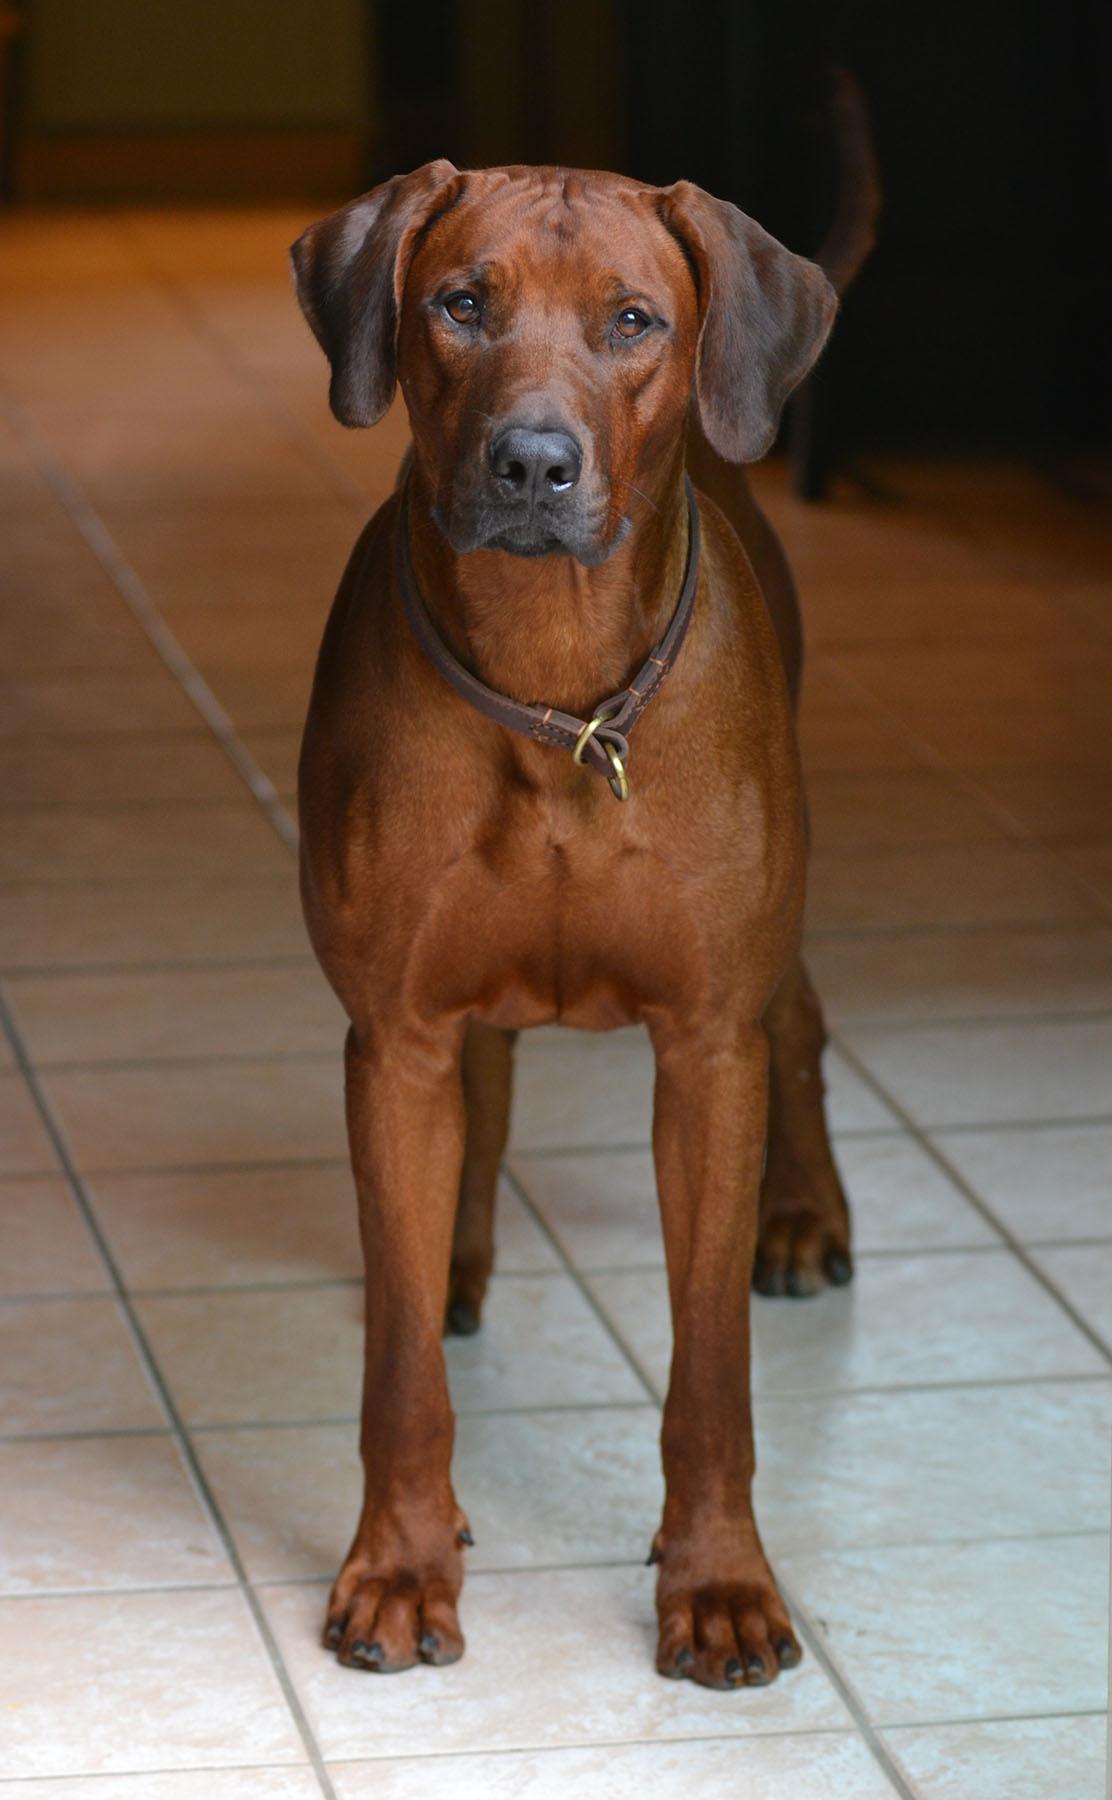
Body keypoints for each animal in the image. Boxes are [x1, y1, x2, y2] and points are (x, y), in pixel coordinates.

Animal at [290, 157, 857, 1691]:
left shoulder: (705, 1048)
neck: (553, 693)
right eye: (459, 304)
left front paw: (718, 1583)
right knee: (477, 1099)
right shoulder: (393, 1035)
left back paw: (804, 1214)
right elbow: (400, 1370)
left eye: (632, 320)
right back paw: (457, 1251)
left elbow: (710, 1372)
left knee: (802, 1021)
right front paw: (400, 1565)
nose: (532, 464)